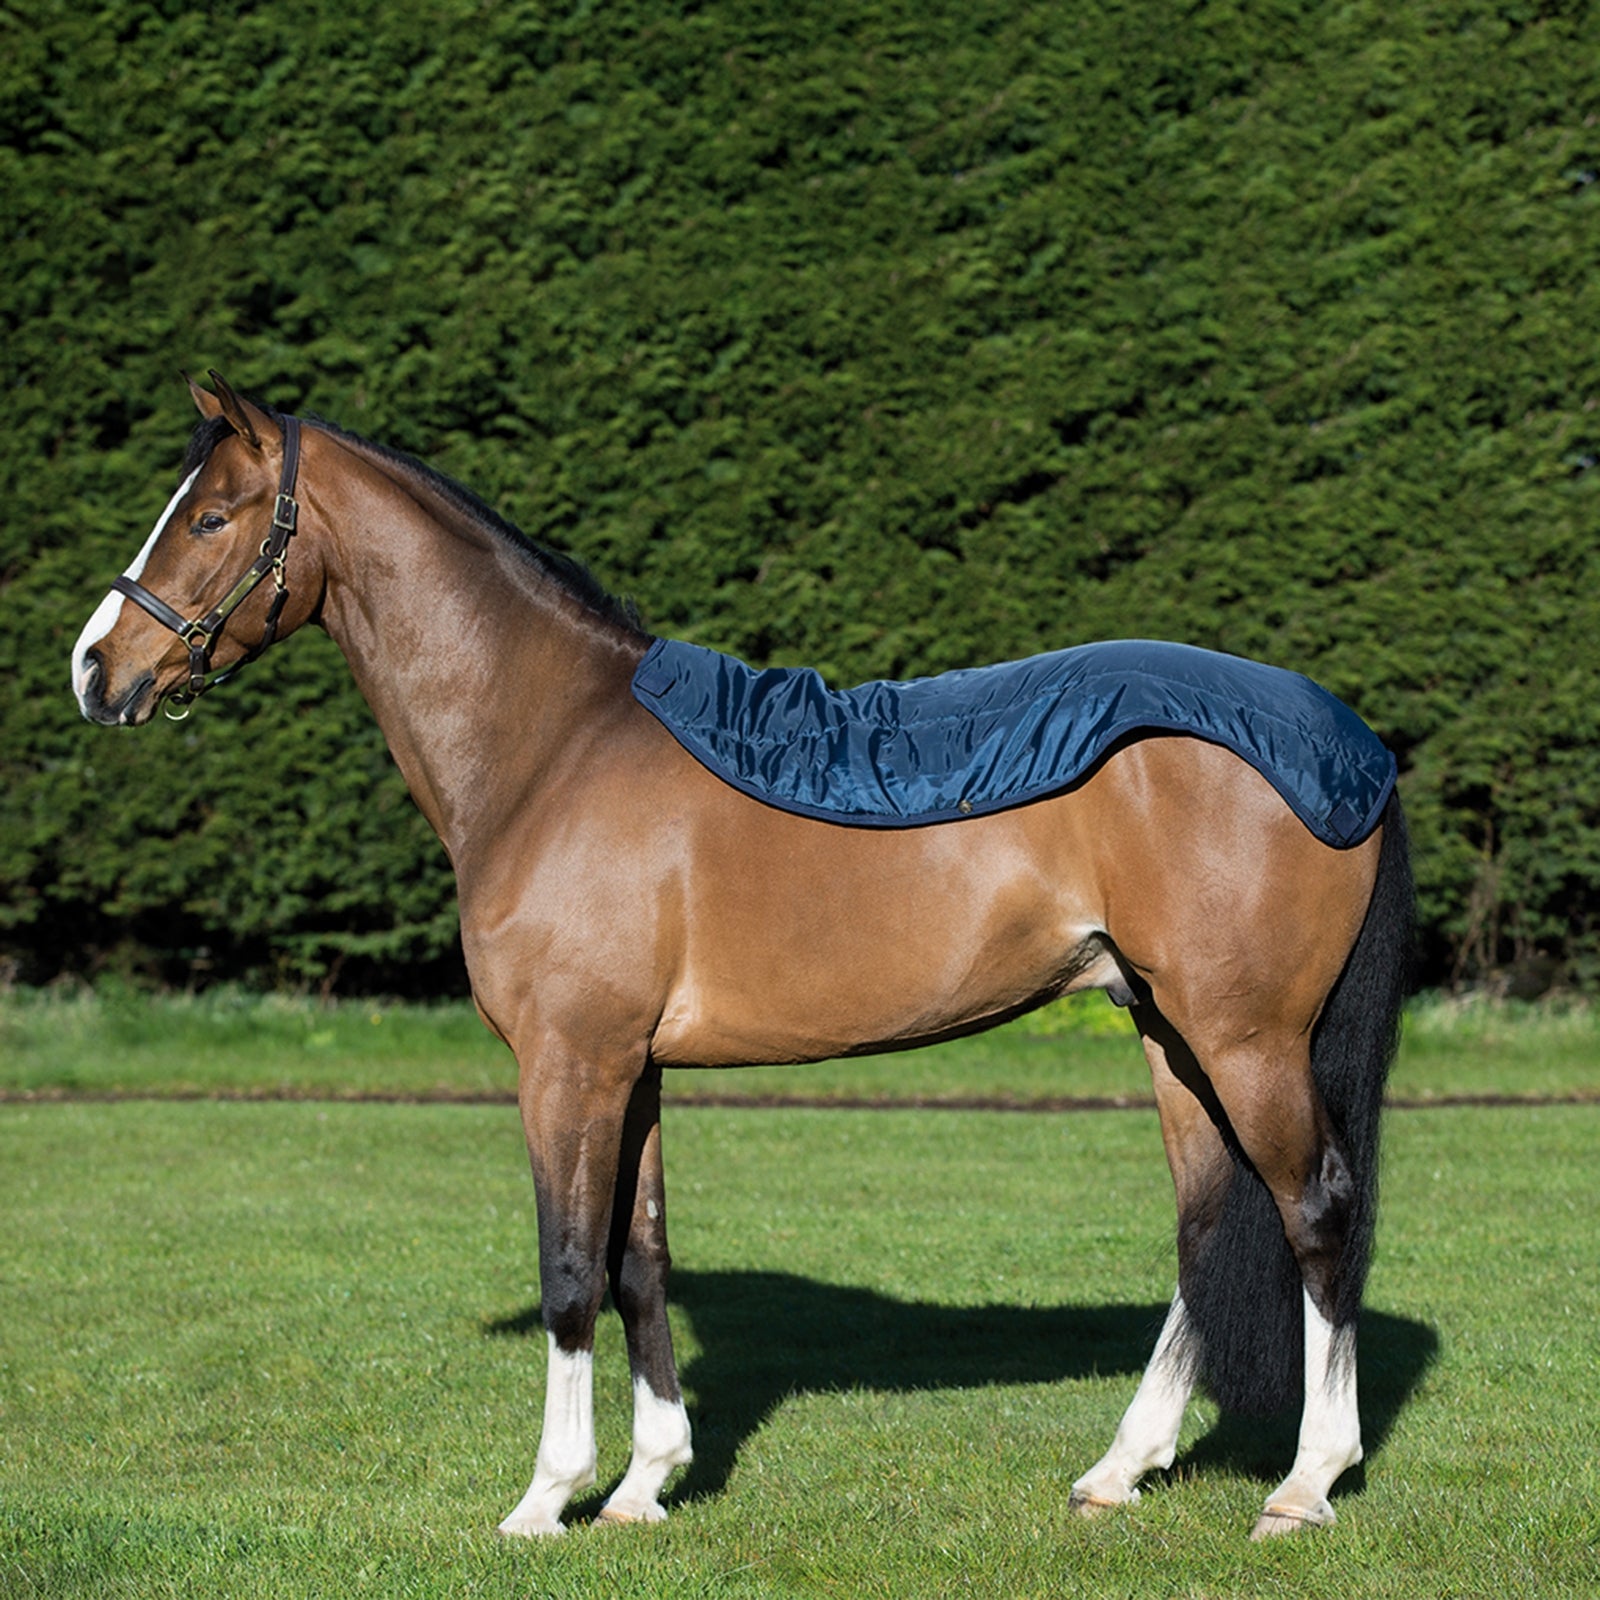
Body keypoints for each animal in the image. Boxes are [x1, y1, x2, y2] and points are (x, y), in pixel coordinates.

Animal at [73, 374, 1412, 1541]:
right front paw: (644, 1483)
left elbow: (571, 1268)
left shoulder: (566, 1063)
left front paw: (546, 1498)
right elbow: (641, 1260)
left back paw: (1305, 1483)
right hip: (1170, 1033)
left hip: (1243, 1038)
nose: (96, 669)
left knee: (1314, 1209)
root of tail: (1345, 739)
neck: (551, 746)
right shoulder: (630, 1068)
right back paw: (1120, 1468)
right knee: (1204, 1226)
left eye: (207, 515)